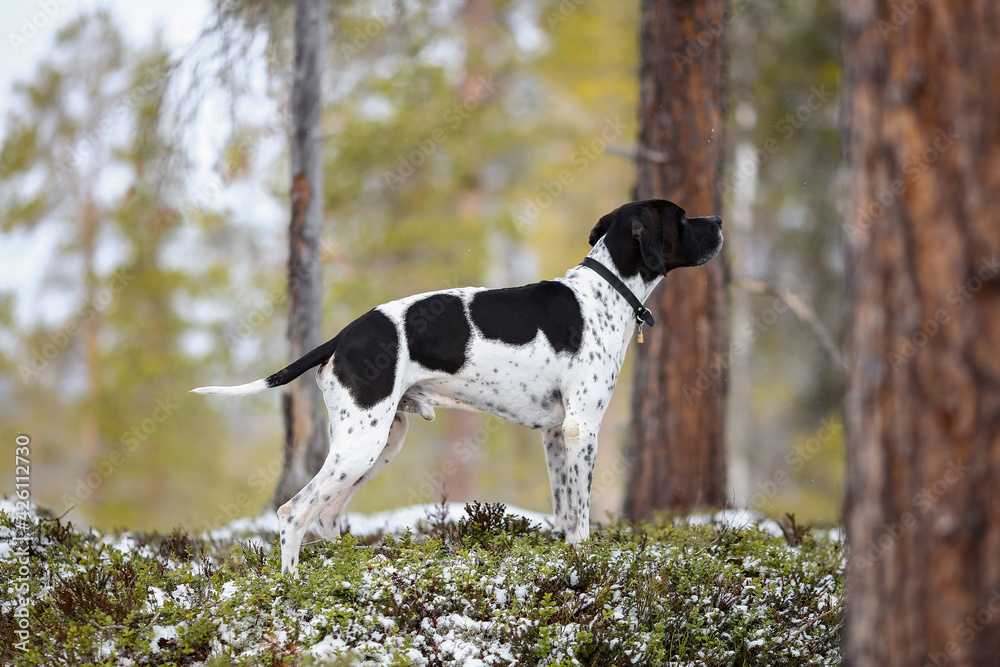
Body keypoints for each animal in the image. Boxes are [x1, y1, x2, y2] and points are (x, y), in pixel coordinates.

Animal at [191, 201, 720, 576]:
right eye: (681, 215)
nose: (716, 220)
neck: (604, 293)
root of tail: (342, 337)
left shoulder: (555, 435)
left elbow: (564, 512)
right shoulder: (581, 430)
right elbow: (582, 516)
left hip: (380, 443)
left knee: (325, 516)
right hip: (360, 444)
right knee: (292, 512)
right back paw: (293, 586)